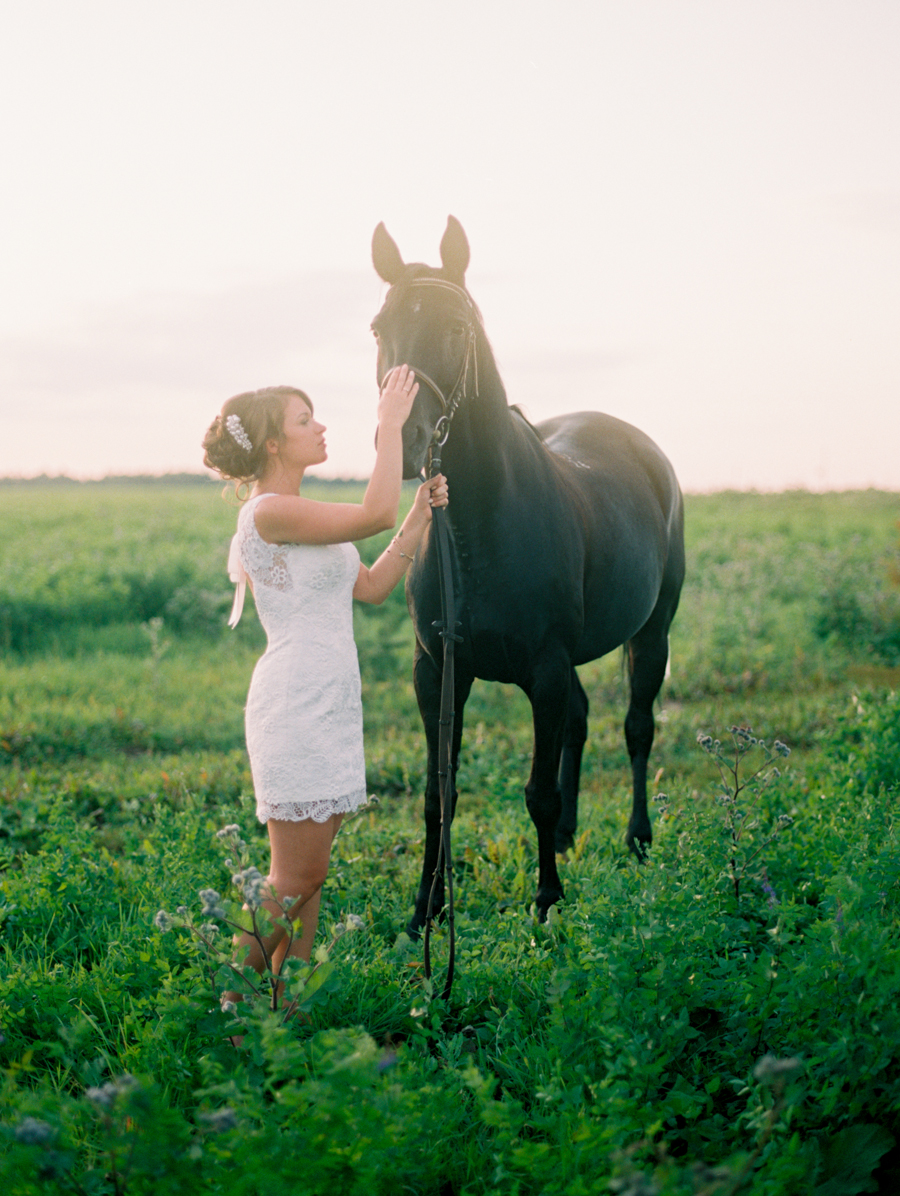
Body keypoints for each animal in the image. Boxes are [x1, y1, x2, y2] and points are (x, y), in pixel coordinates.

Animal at [368, 217, 683, 932]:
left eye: (456, 328)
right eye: (378, 326)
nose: (402, 441)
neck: (477, 529)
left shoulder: (544, 667)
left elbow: (537, 791)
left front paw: (546, 903)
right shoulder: (437, 671)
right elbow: (439, 795)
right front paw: (424, 912)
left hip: (650, 633)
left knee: (636, 728)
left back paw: (637, 840)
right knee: (581, 719)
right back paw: (568, 836)